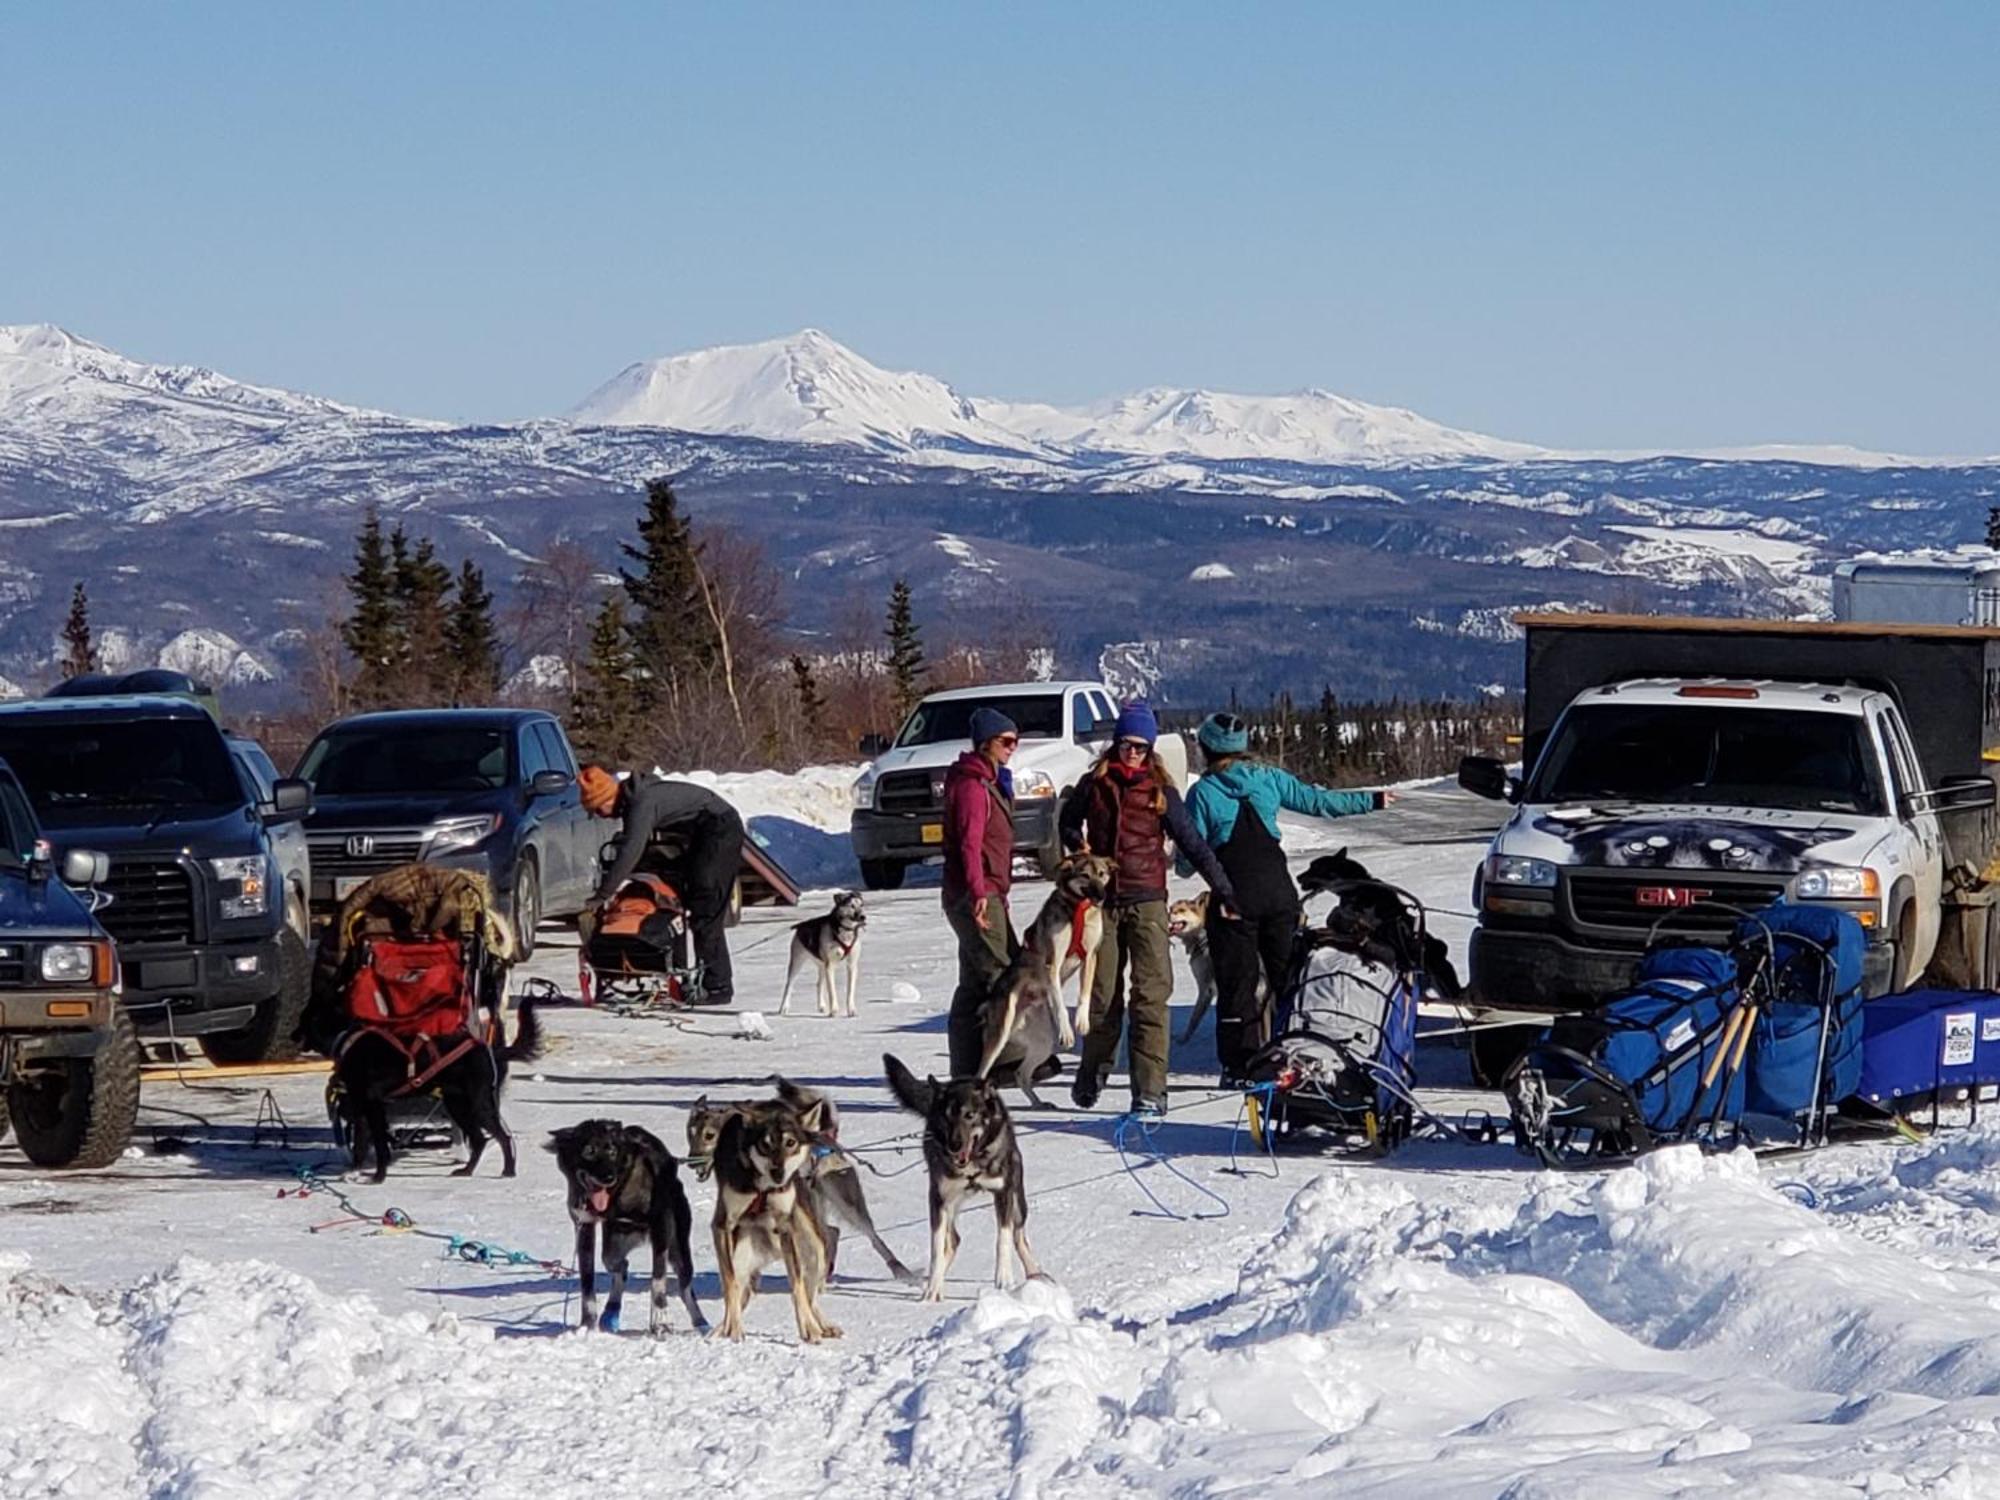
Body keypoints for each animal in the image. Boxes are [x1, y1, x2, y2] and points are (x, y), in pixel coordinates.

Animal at [544, 1128, 708, 1336]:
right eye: (588, 1151)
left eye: (612, 1151)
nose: (608, 1177)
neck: (617, 1192)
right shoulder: (584, 1226)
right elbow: (587, 1286)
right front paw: (587, 1326)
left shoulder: (661, 1225)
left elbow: (658, 1280)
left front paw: (661, 1320)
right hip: (613, 1247)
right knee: (620, 1266)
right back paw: (611, 1311)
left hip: (678, 1248)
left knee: (685, 1287)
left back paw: (701, 1322)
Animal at [888, 1056, 1048, 1304]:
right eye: (946, 1116)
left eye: (970, 1115)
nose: (954, 1145)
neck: (973, 1160)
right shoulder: (938, 1199)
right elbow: (937, 1247)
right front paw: (933, 1286)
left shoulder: (1003, 1193)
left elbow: (1003, 1238)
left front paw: (1004, 1278)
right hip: (952, 1203)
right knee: (953, 1240)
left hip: (1017, 1199)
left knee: (1018, 1235)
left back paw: (1033, 1272)